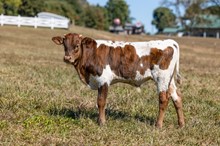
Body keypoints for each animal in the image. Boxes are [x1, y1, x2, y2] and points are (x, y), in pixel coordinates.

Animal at [51, 33, 184, 128]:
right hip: (169, 81)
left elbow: (101, 102)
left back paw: (158, 125)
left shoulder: (103, 80)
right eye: (64, 45)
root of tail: (169, 41)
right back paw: (181, 124)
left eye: (77, 45)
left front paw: (102, 122)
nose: (67, 58)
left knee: (163, 100)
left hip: (161, 78)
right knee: (177, 98)